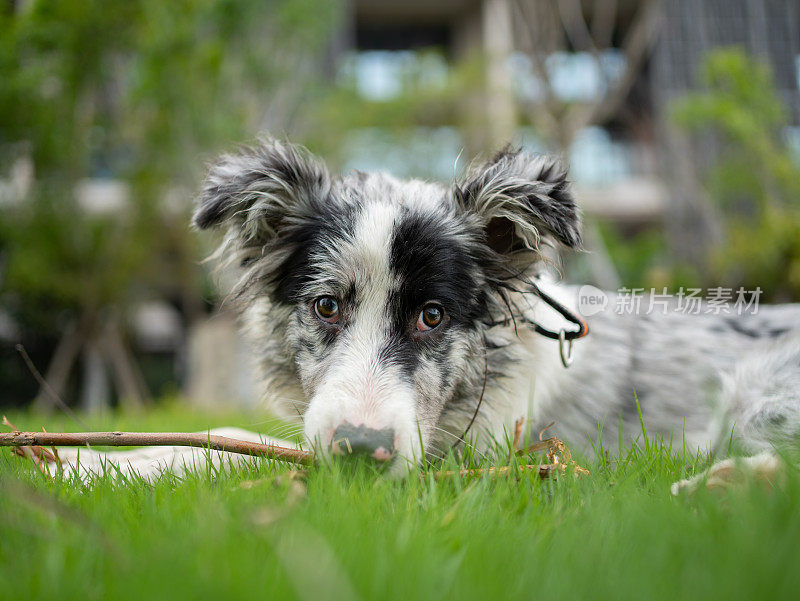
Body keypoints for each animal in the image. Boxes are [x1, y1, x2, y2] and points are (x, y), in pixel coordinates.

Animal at [189, 137, 800, 492]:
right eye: (327, 306)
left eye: (433, 316)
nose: (361, 452)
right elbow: (230, 436)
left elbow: (255, 455)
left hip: (756, 398)